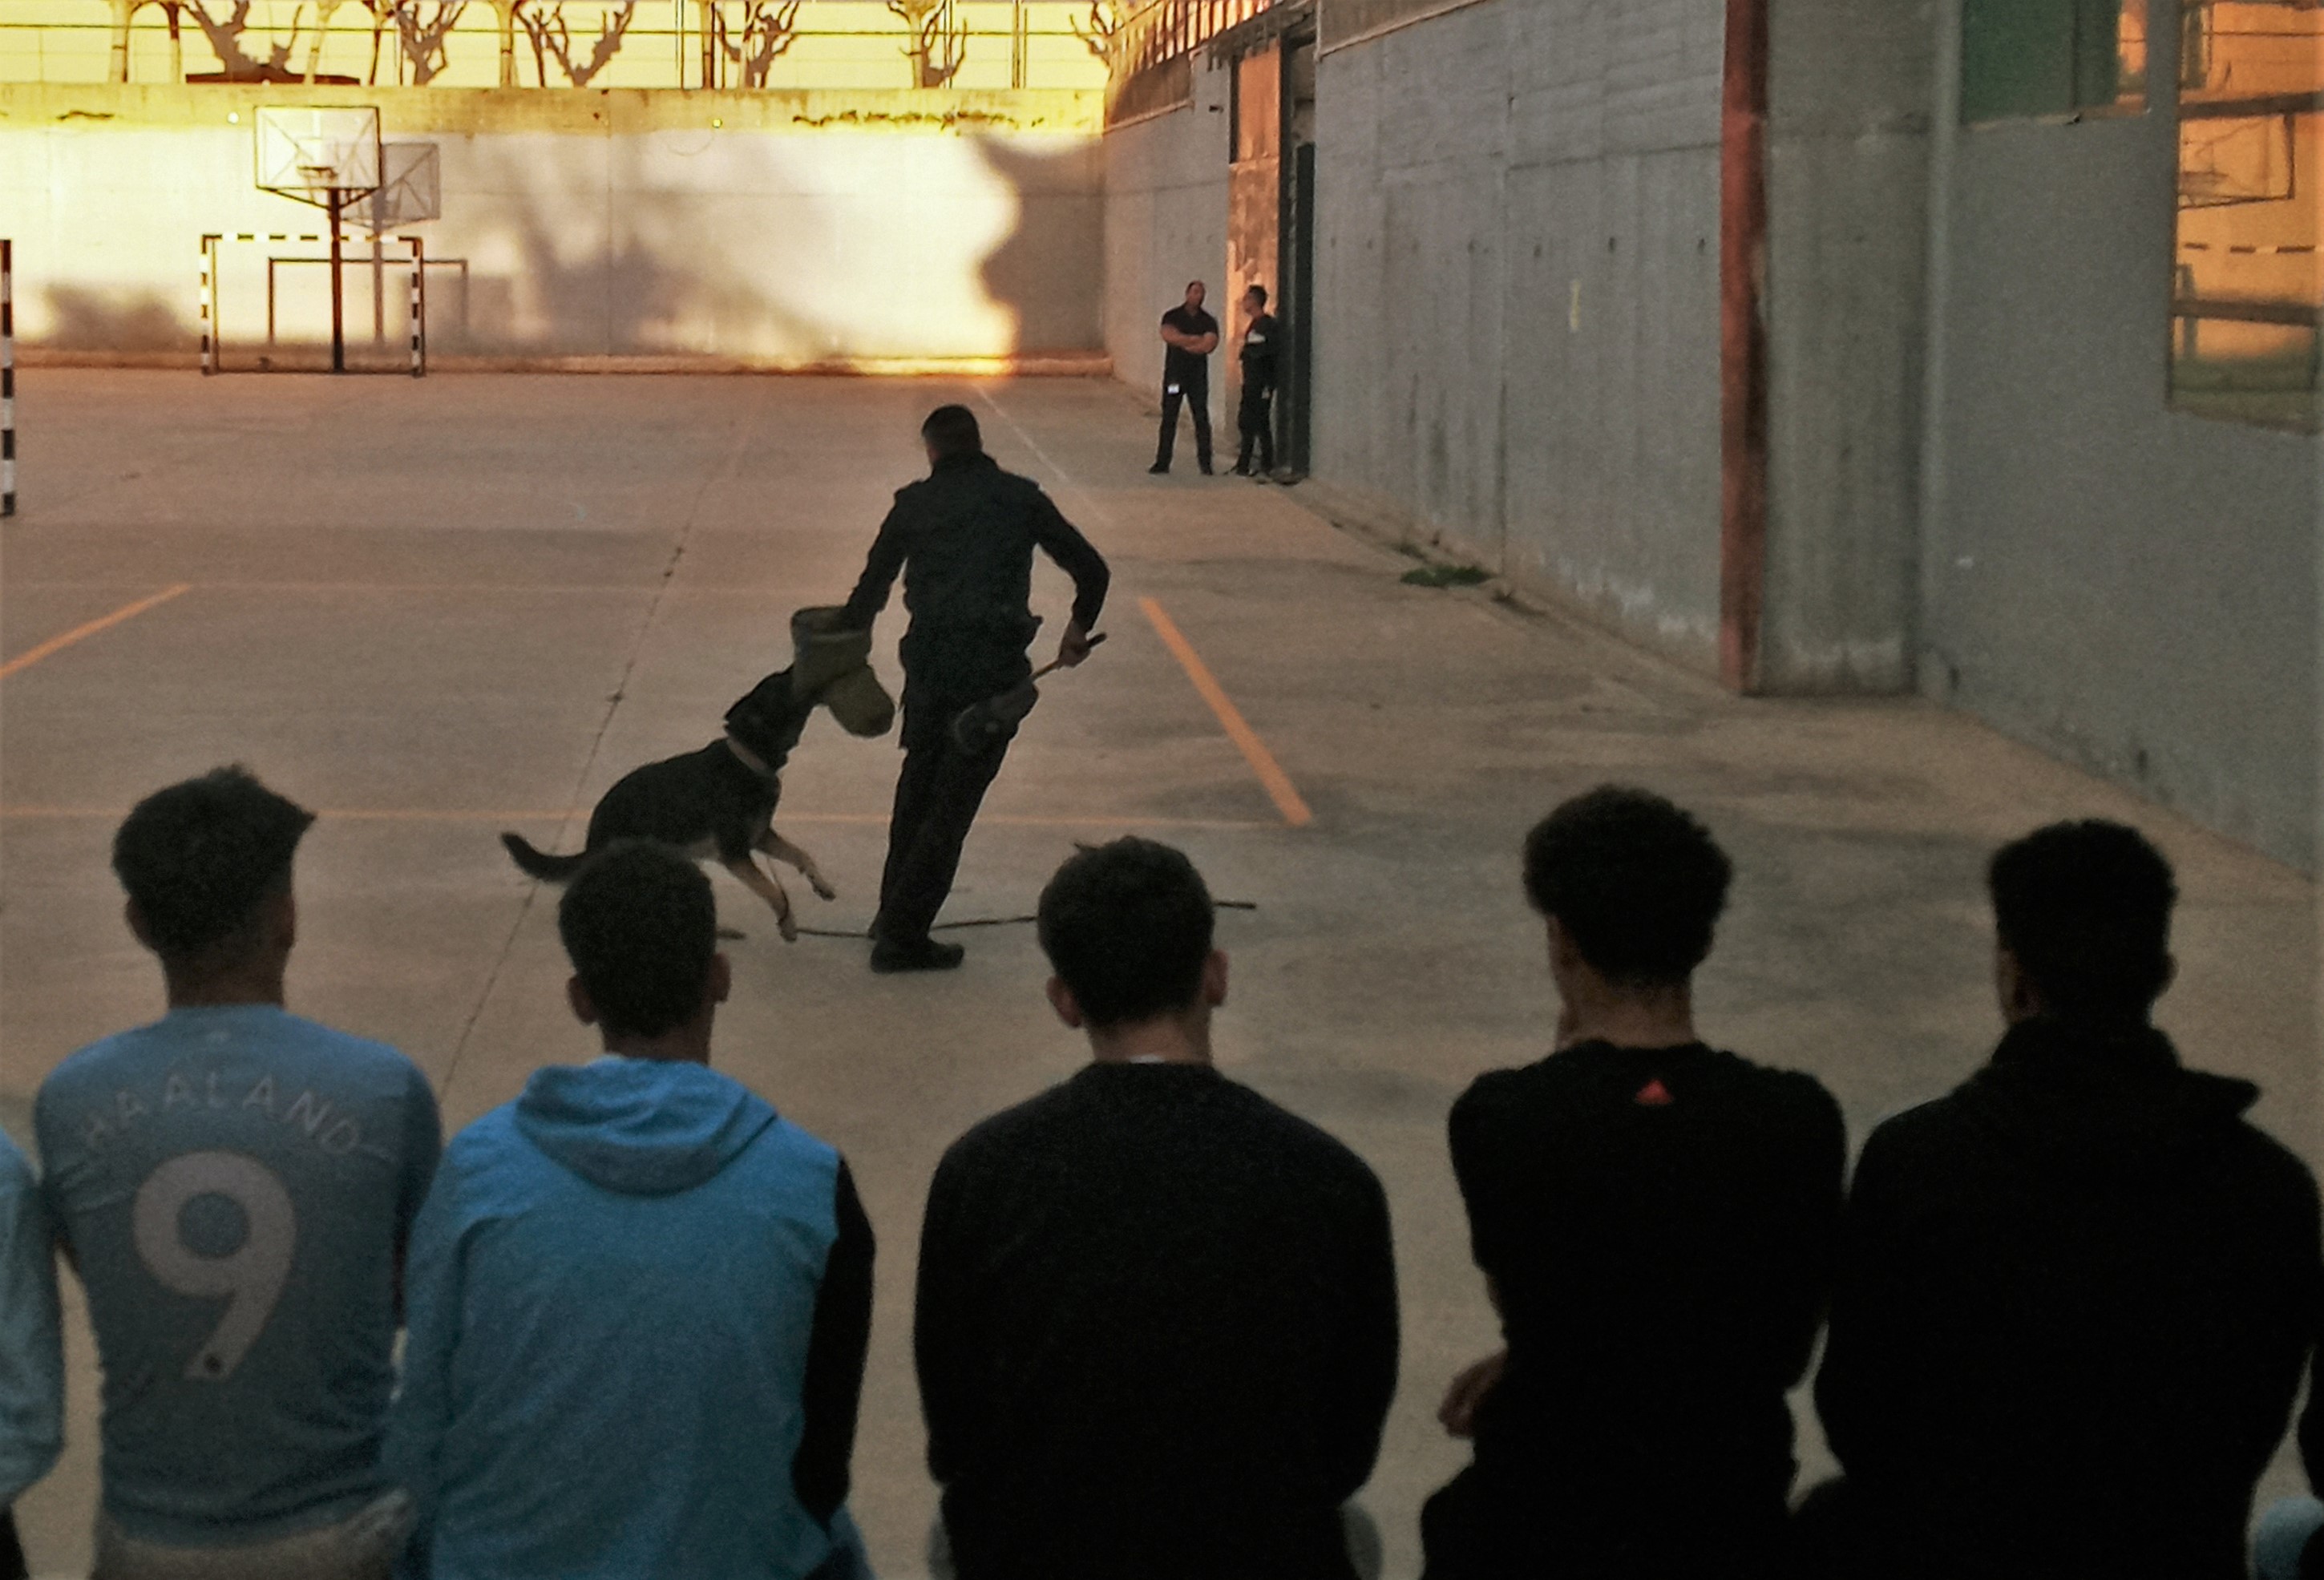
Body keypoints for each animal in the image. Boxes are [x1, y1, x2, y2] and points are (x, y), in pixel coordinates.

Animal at [499, 664, 836, 939]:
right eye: (782, 684)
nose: (799, 661)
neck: (746, 759)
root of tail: (593, 836)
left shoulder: (761, 838)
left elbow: (802, 855)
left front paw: (821, 885)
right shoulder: (736, 854)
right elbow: (775, 892)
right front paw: (788, 924)